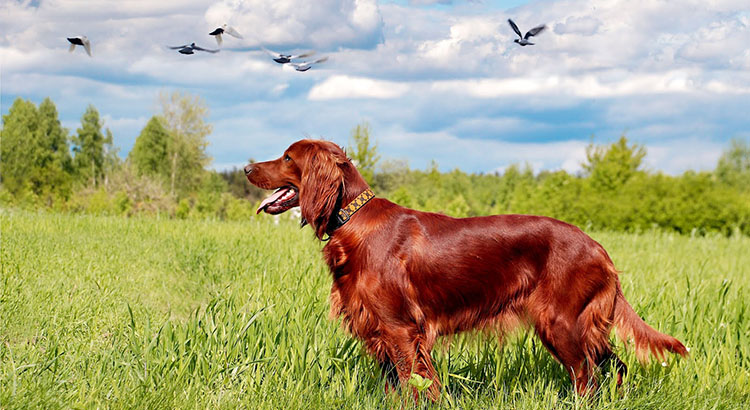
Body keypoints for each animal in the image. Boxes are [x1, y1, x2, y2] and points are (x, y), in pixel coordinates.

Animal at [245, 140, 688, 400]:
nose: (247, 168)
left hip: (560, 322)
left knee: (588, 377)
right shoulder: (379, 329)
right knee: (615, 367)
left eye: (287, 157)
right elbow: (396, 388)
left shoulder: (400, 328)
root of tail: (599, 248)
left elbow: (415, 385)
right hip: (583, 325)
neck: (353, 220)